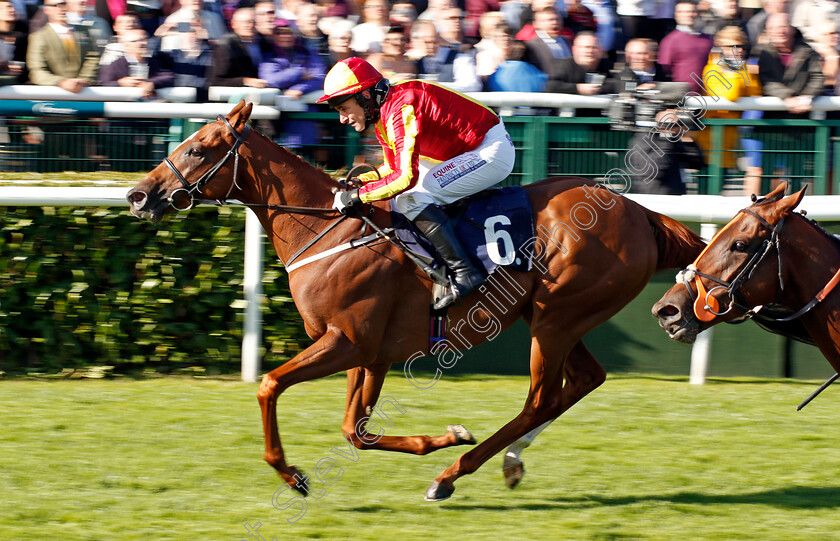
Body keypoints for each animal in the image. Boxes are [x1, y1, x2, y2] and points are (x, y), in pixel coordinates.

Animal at [124, 103, 704, 500]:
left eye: (198, 148)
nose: (137, 195)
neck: (328, 231)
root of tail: (641, 212)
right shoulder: (370, 352)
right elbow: (354, 432)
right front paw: (443, 436)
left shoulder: (345, 342)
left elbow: (269, 386)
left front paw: (293, 475)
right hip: (556, 318)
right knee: (582, 382)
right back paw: (505, 462)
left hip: (556, 318)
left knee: (541, 399)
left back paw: (451, 475)